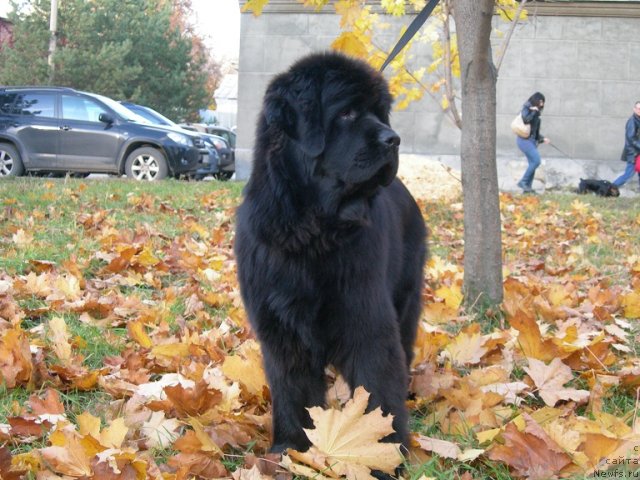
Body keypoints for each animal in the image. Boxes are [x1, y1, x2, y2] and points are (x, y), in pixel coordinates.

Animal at [234, 52, 424, 454]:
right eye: (347, 113)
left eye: (379, 113)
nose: (393, 139)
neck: (309, 231)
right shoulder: (281, 326)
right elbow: (293, 389)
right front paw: (292, 448)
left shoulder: (365, 316)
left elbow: (379, 388)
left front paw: (384, 451)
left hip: (406, 299)